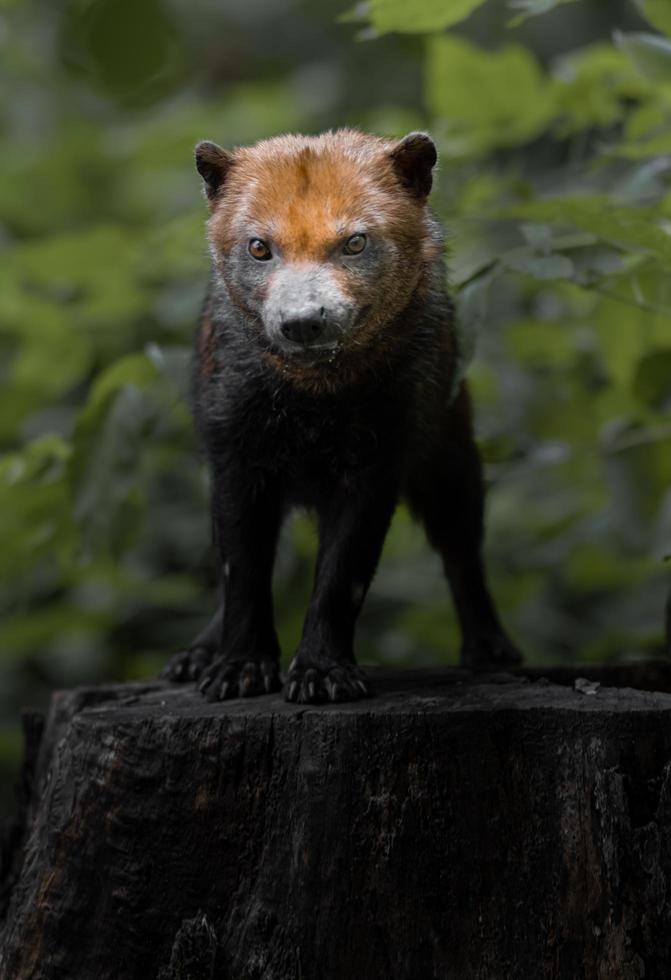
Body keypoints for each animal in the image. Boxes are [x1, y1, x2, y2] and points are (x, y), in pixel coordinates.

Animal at [163, 130, 520, 700]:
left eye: (354, 242)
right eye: (259, 247)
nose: (304, 322)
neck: (313, 401)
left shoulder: (375, 468)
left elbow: (340, 579)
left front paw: (321, 671)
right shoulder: (236, 462)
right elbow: (241, 574)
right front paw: (238, 667)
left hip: (453, 472)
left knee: (464, 556)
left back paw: (490, 649)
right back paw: (197, 654)